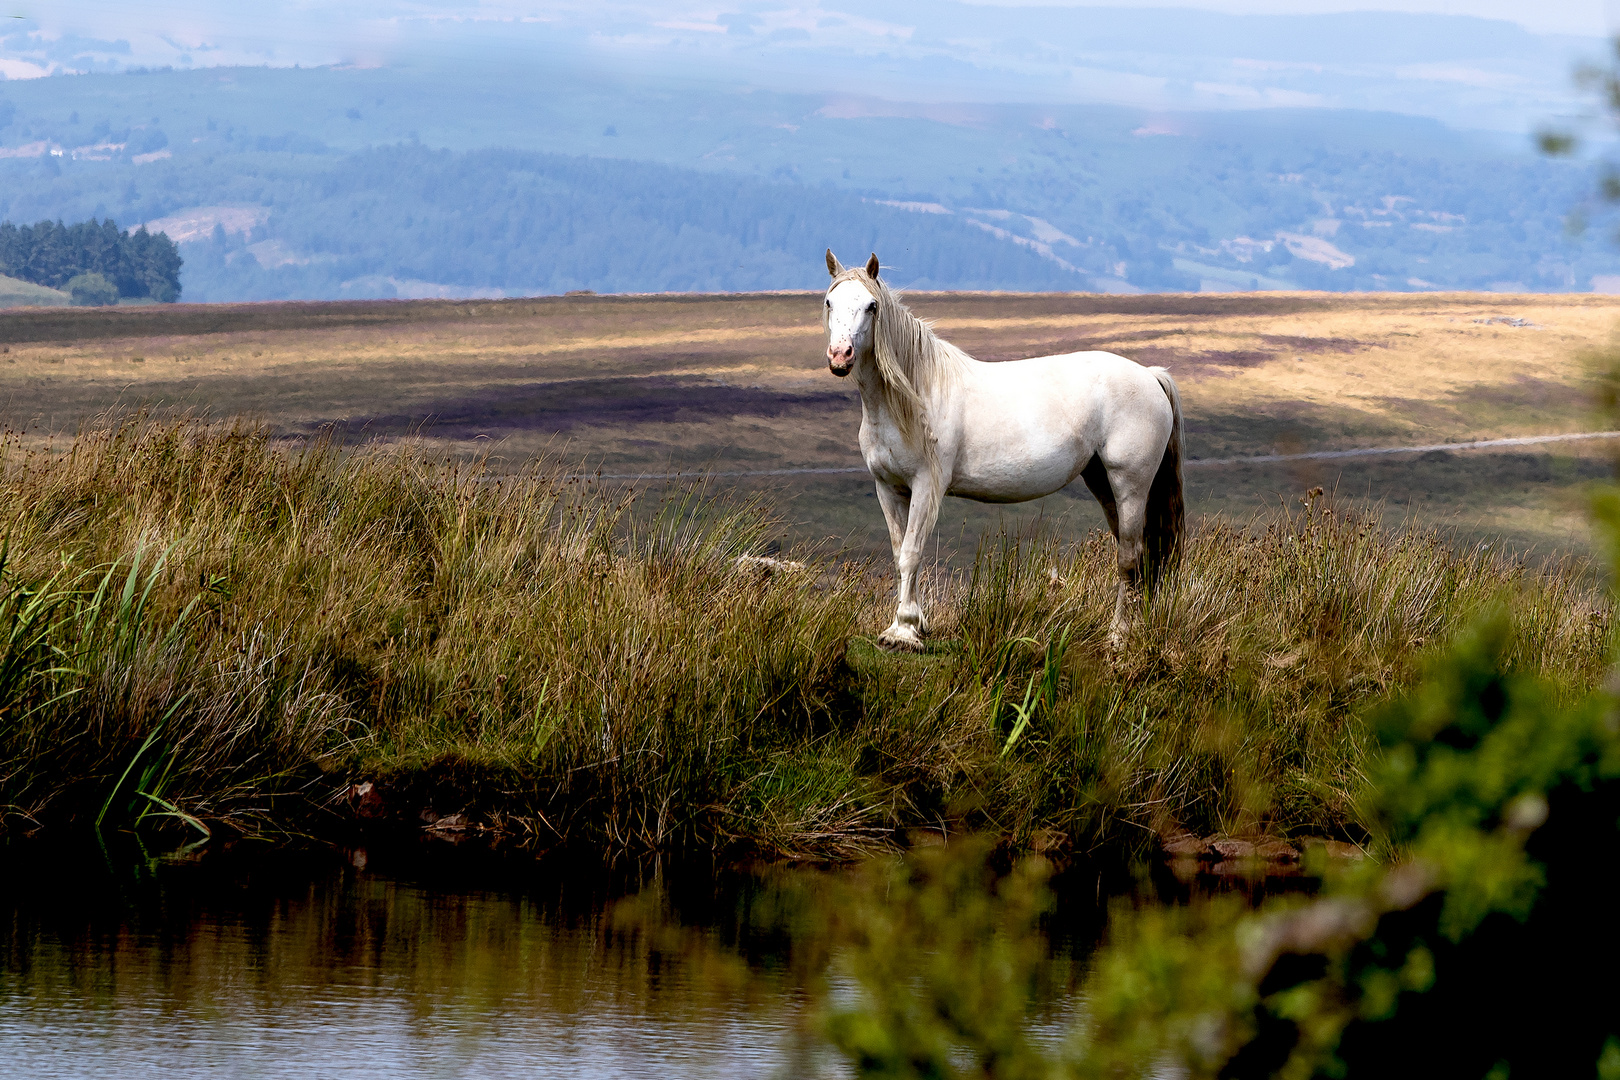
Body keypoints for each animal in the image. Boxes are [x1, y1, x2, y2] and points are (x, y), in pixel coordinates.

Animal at [829, 249, 1185, 647]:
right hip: (1102, 481)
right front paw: (906, 625)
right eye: (829, 302)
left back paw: (1120, 635)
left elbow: (911, 552)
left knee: (1130, 556)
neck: (912, 397)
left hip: (1131, 484)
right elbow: (898, 553)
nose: (840, 355)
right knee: (1139, 552)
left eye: (871, 306)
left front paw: (904, 631)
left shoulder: (925, 485)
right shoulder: (888, 488)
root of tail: (1150, 375)